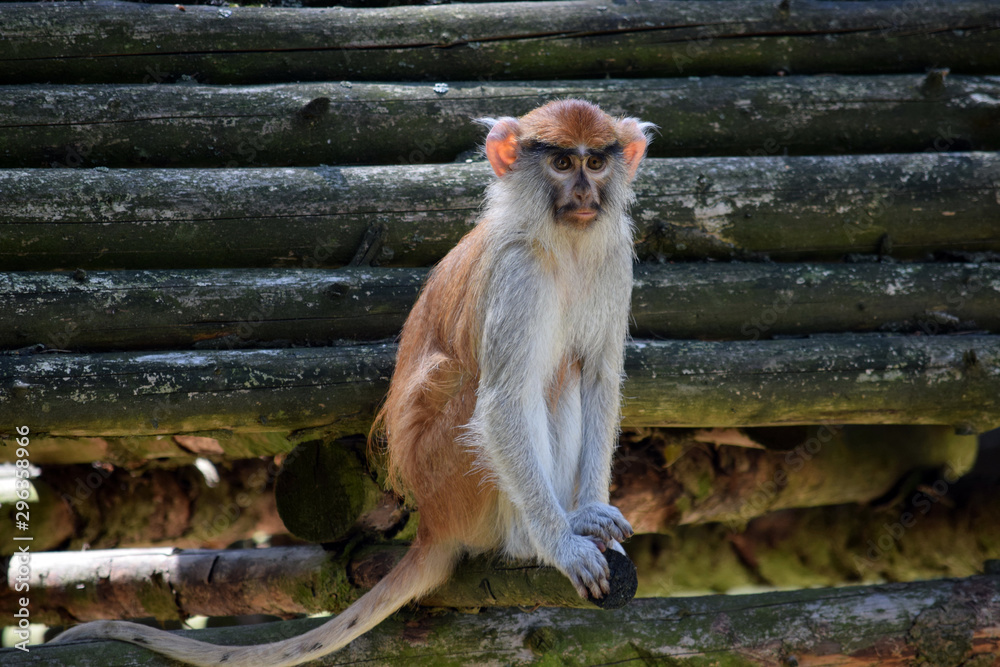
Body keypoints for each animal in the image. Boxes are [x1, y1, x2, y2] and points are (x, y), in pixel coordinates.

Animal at [50, 99, 653, 666]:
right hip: (456, 478)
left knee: (566, 372)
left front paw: (590, 513)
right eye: (560, 163)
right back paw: (530, 540)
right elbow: (505, 403)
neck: (564, 243)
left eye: (596, 162)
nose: (584, 192)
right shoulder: (517, 275)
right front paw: (562, 546)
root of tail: (433, 523)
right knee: (531, 389)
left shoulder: (615, 259)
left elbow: (599, 378)